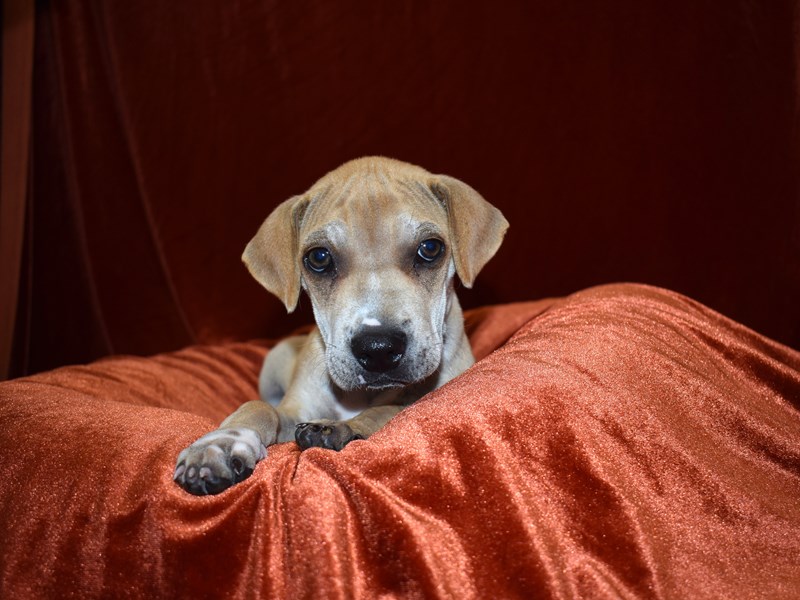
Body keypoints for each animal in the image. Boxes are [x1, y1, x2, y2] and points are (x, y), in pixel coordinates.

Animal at [174, 157, 506, 494]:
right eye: (319, 257)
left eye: (430, 248)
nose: (378, 348)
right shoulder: (294, 409)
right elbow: (257, 407)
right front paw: (220, 444)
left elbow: (390, 410)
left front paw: (344, 426)